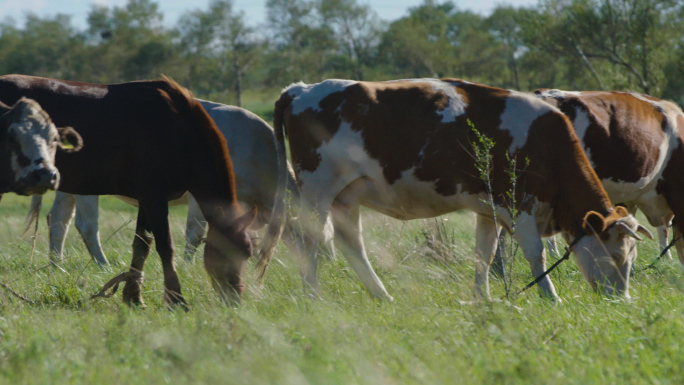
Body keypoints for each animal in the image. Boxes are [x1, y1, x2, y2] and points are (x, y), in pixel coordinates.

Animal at [0, 73, 258, 304]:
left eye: (247, 253)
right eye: (224, 253)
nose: (235, 299)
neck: (176, 128)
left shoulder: (147, 198)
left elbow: (142, 245)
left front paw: (133, 295)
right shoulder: (154, 196)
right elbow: (165, 246)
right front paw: (175, 299)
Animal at [24, 100, 290, 272]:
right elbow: (195, 233)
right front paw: (187, 266)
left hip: (70, 187)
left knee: (58, 219)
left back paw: (56, 265)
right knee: (86, 224)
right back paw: (103, 266)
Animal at [276, 79, 652, 300]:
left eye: (632, 257)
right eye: (617, 255)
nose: (622, 299)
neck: (546, 141)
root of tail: (301, 89)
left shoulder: (488, 210)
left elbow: (483, 254)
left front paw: (482, 298)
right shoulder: (517, 204)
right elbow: (536, 254)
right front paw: (550, 297)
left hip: (346, 196)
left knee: (352, 244)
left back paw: (381, 294)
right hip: (317, 190)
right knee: (310, 239)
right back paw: (313, 296)